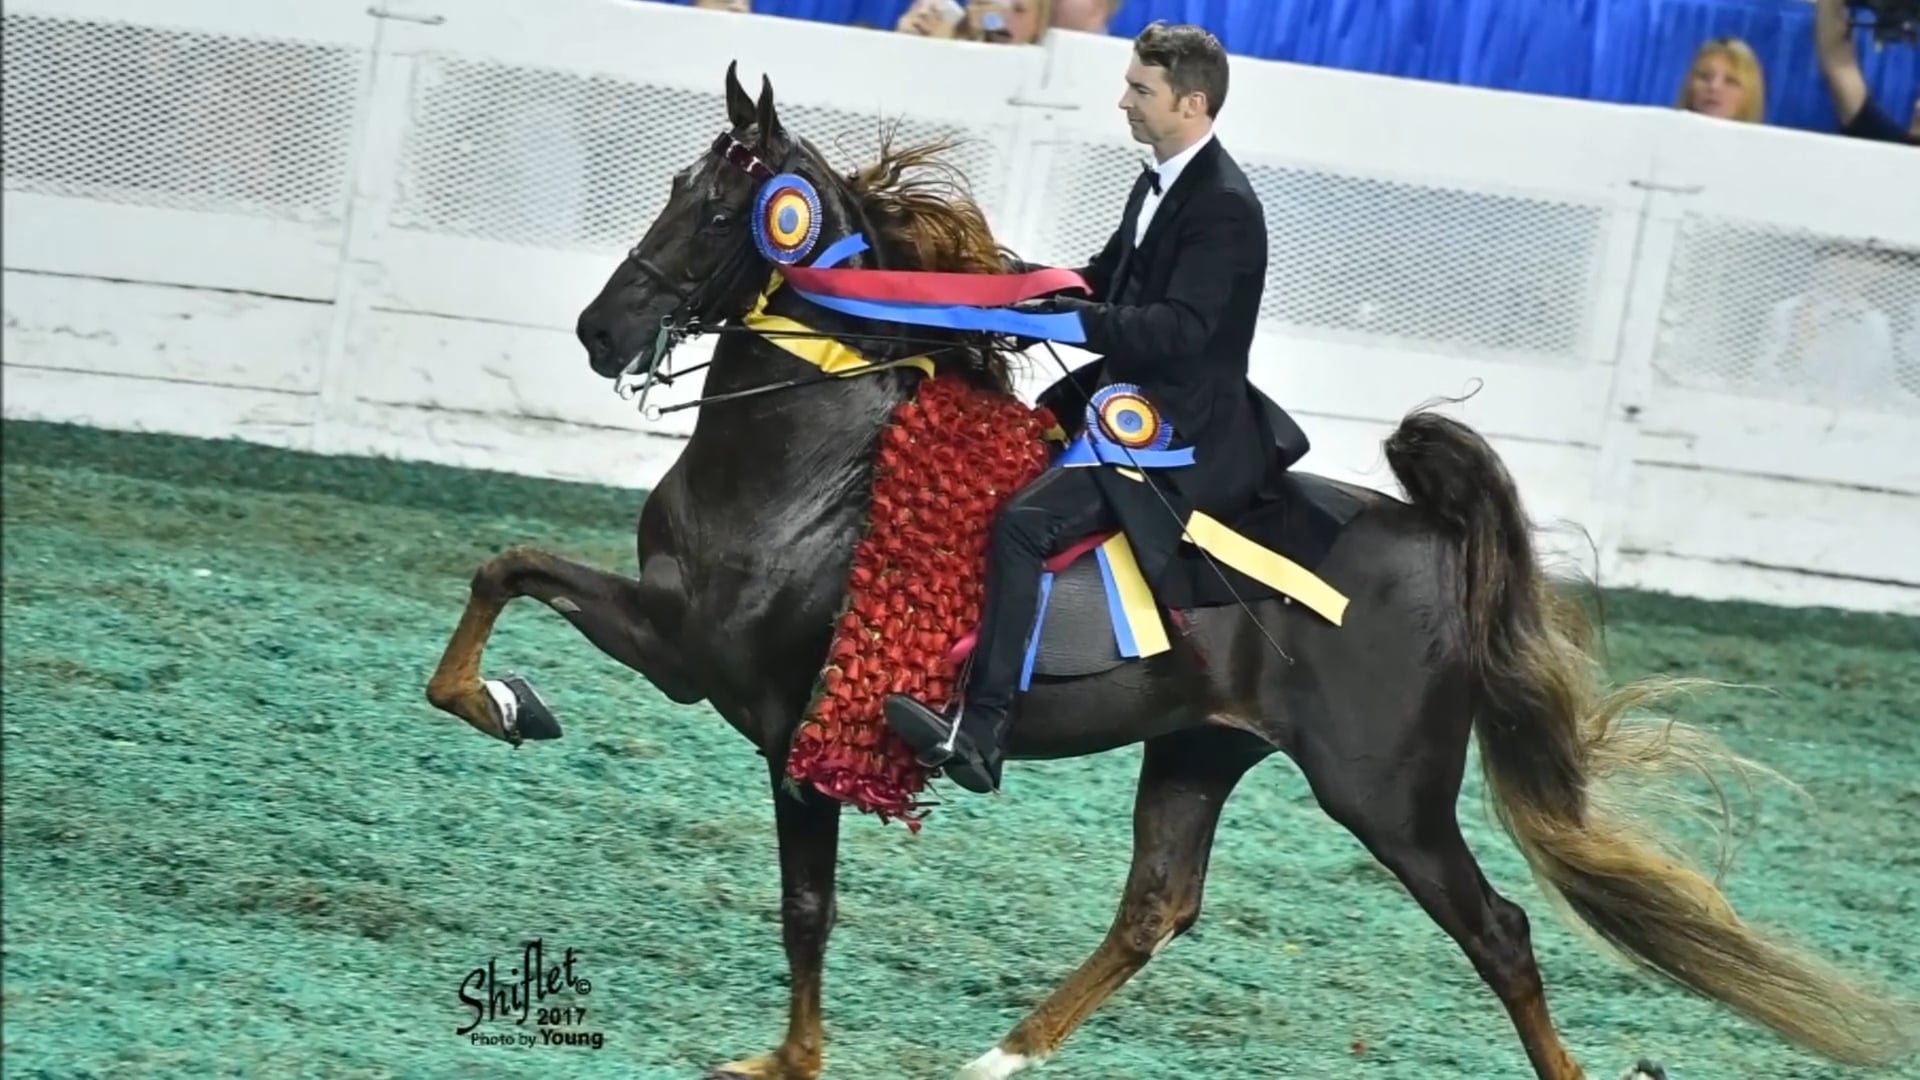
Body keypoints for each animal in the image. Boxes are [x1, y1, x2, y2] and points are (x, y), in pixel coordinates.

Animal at [423, 62, 1916, 1080]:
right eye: (679, 187)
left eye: (724, 203)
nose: (600, 328)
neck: (815, 464)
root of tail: (1435, 541)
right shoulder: (682, 644)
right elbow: (506, 565)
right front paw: (505, 703)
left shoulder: (762, 698)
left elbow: (806, 907)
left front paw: (784, 1061)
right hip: (1202, 744)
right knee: (1157, 904)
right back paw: (1002, 1055)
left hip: (1386, 795)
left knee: (1498, 929)